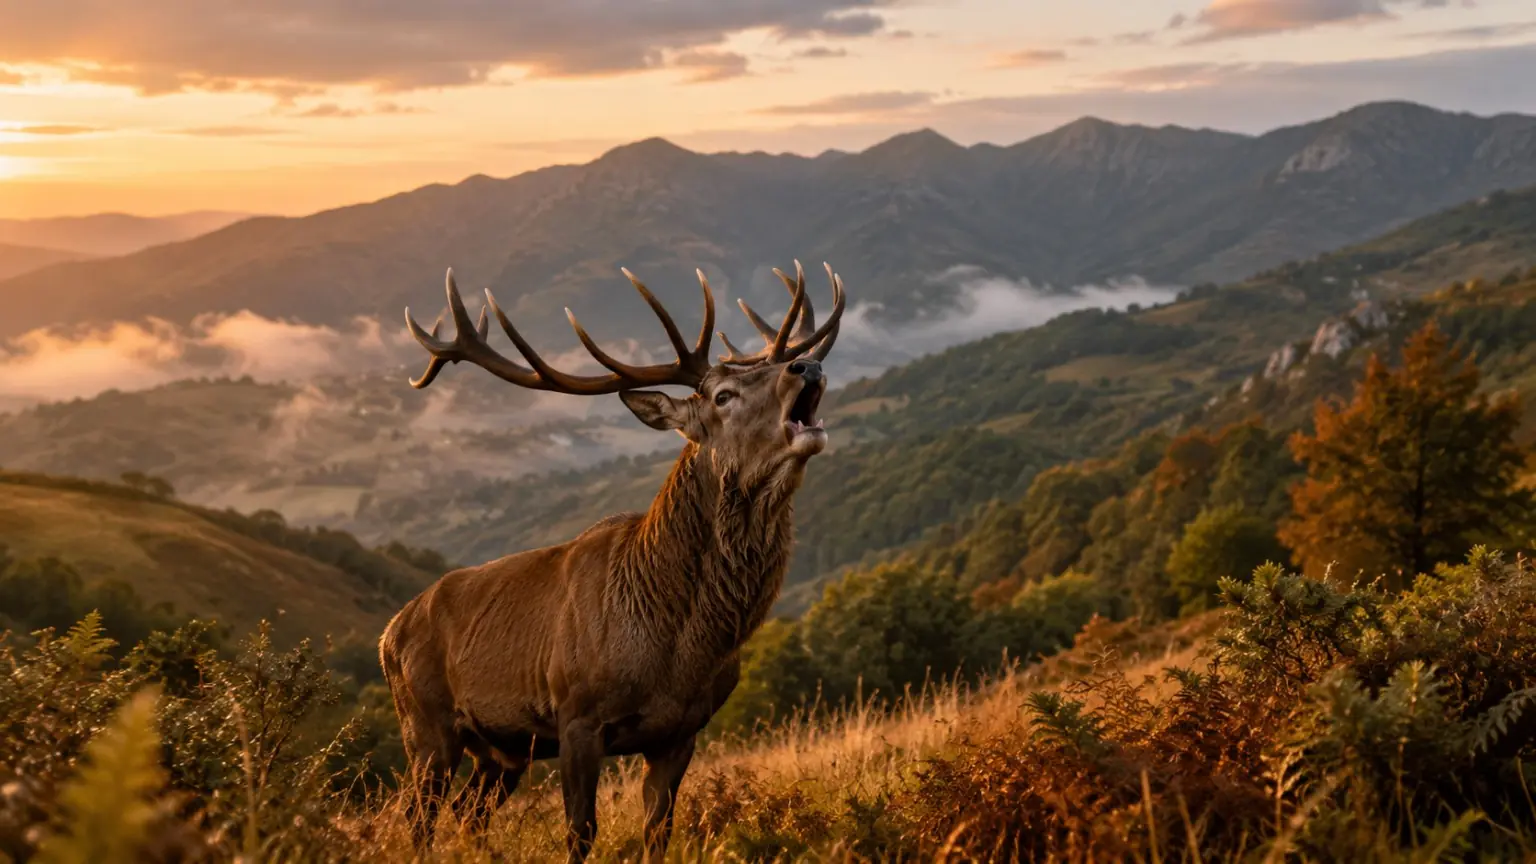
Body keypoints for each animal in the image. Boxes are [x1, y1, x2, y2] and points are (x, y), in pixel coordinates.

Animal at [379, 259, 845, 862]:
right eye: (722, 396)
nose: (807, 364)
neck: (678, 648)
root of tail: (390, 632)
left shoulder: (681, 732)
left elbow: (658, 832)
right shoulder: (577, 715)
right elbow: (580, 832)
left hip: (501, 751)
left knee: (467, 814)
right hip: (426, 726)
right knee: (417, 817)